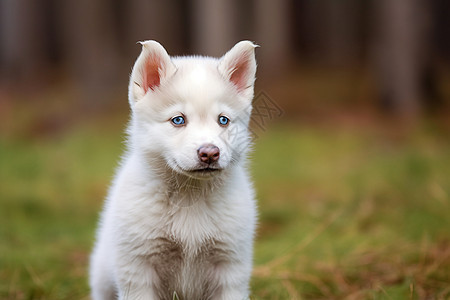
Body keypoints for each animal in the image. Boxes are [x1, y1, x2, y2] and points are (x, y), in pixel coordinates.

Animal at [89, 41, 258, 300]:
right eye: (178, 120)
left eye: (223, 120)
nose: (210, 153)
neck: (190, 195)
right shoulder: (138, 268)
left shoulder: (230, 266)